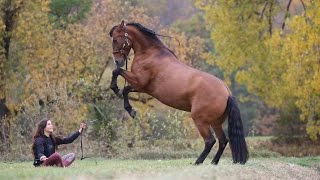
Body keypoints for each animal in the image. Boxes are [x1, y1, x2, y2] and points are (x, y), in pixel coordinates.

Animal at [109, 20, 249, 165]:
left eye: (115, 39)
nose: (118, 61)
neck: (150, 54)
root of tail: (227, 92)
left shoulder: (139, 82)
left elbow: (118, 75)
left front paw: (125, 102)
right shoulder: (142, 87)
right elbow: (124, 87)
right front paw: (128, 106)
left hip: (200, 120)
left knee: (210, 141)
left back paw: (197, 162)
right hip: (216, 122)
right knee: (223, 141)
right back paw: (213, 163)